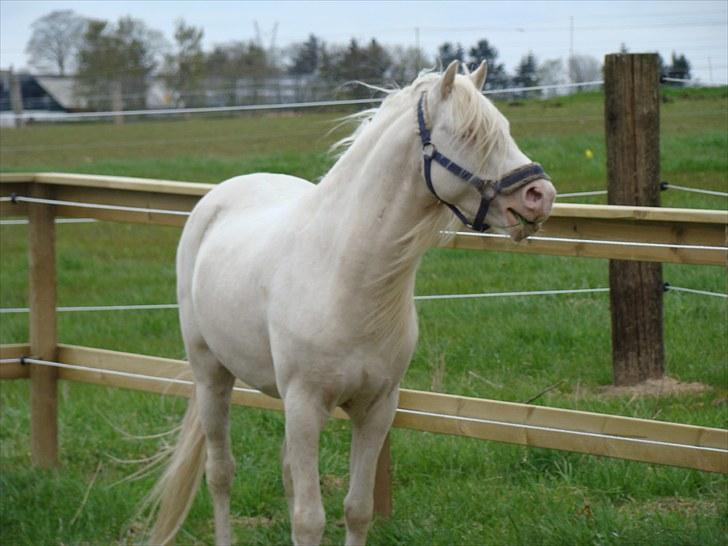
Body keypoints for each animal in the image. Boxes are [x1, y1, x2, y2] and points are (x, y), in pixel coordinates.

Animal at [144, 60, 556, 546]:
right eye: (470, 134)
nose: (540, 196)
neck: (347, 278)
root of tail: (217, 197)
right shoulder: (305, 406)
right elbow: (309, 519)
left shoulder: (376, 409)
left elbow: (357, 510)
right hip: (211, 375)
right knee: (221, 473)